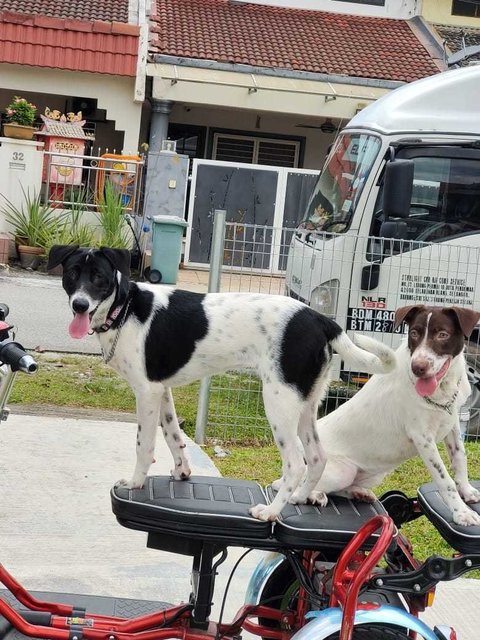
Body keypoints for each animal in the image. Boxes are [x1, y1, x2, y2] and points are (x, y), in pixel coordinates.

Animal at [47, 245, 394, 520]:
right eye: (73, 274)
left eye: (98, 277)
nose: (79, 305)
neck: (125, 309)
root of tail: (321, 319)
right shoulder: (162, 390)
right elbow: (173, 434)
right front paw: (182, 471)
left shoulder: (146, 392)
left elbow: (144, 444)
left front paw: (135, 483)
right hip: (306, 404)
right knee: (318, 457)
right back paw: (298, 497)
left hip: (279, 403)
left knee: (296, 464)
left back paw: (271, 512)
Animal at [288, 308, 480, 528]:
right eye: (414, 333)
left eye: (442, 334)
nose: (418, 367)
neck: (443, 388)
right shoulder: (423, 438)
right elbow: (445, 480)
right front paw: (461, 513)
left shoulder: (452, 423)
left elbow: (460, 457)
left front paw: (467, 491)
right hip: (340, 471)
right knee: (292, 485)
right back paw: (314, 495)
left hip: (371, 475)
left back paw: (359, 493)